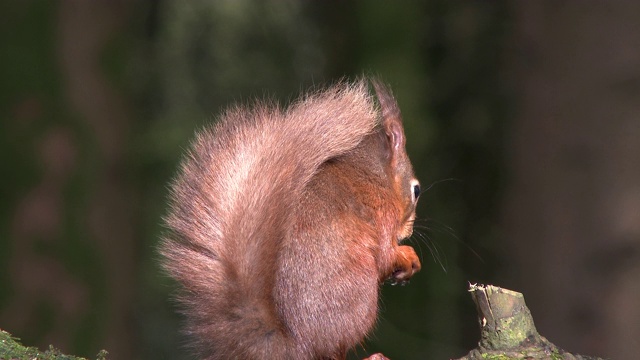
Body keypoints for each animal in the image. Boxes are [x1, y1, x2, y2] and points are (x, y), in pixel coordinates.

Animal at [160, 79, 420, 360]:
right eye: (416, 191)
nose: (408, 231)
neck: (374, 175)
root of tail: (296, 345)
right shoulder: (381, 213)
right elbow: (384, 255)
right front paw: (407, 256)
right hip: (358, 298)